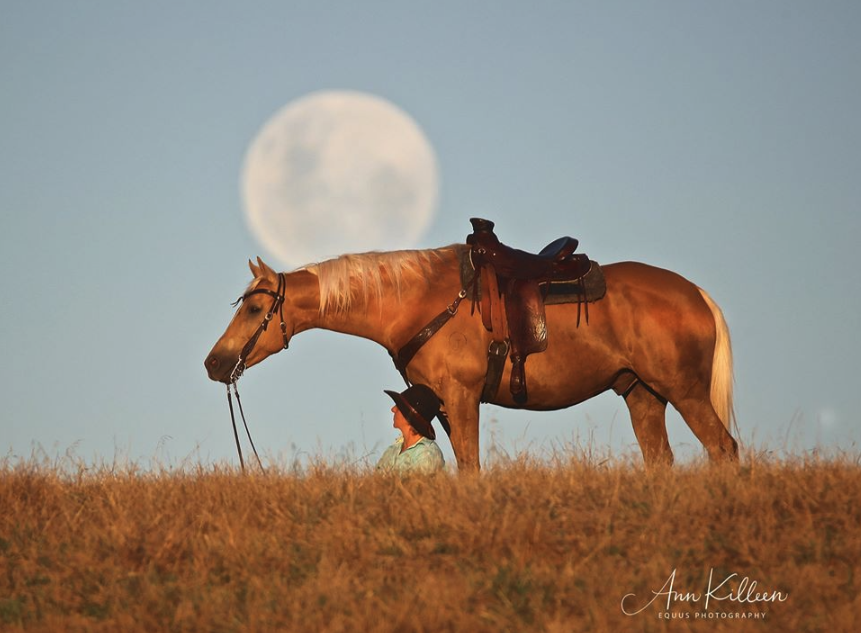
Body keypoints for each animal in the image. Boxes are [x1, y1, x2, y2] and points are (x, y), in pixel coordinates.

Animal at [205, 244, 736, 472]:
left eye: (254, 308)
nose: (214, 364)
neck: (420, 301)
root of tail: (697, 295)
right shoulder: (440, 402)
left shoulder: (461, 398)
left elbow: (472, 468)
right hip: (641, 394)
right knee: (660, 461)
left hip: (683, 391)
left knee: (724, 449)